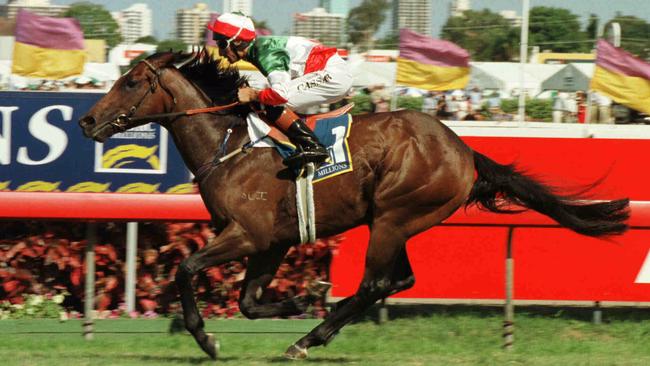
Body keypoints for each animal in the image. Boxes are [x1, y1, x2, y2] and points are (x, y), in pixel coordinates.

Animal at [78, 52, 624, 360]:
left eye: (130, 82)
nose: (85, 121)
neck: (228, 144)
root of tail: (463, 150)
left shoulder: (247, 234)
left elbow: (185, 269)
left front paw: (208, 338)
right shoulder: (272, 242)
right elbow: (249, 302)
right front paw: (296, 300)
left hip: (393, 216)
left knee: (376, 283)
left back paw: (308, 338)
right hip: (397, 222)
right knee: (399, 280)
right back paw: (316, 319)